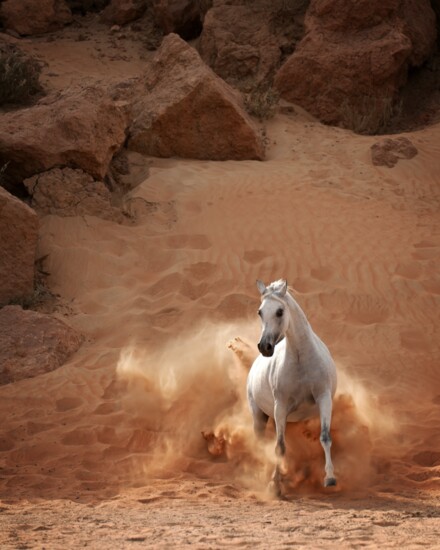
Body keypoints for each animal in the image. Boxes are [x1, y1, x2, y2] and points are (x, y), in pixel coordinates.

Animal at [248, 280, 336, 496]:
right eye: (260, 312)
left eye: (280, 311)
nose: (264, 347)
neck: (300, 359)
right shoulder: (280, 406)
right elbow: (279, 447)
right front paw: (275, 485)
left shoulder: (324, 398)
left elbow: (325, 437)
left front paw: (330, 478)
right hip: (259, 414)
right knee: (260, 442)